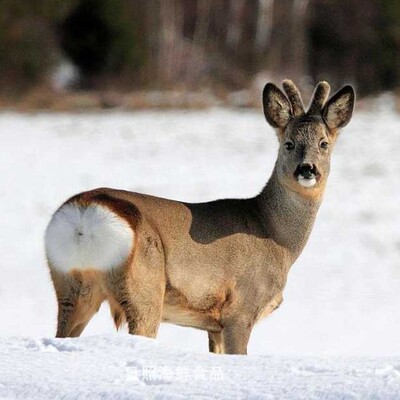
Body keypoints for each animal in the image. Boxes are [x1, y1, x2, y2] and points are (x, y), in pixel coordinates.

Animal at [45, 79, 354, 354]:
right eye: (288, 144)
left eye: (324, 143)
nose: (307, 169)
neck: (274, 236)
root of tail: (85, 216)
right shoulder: (240, 308)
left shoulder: (213, 325)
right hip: (145, 287)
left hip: (71, 287)